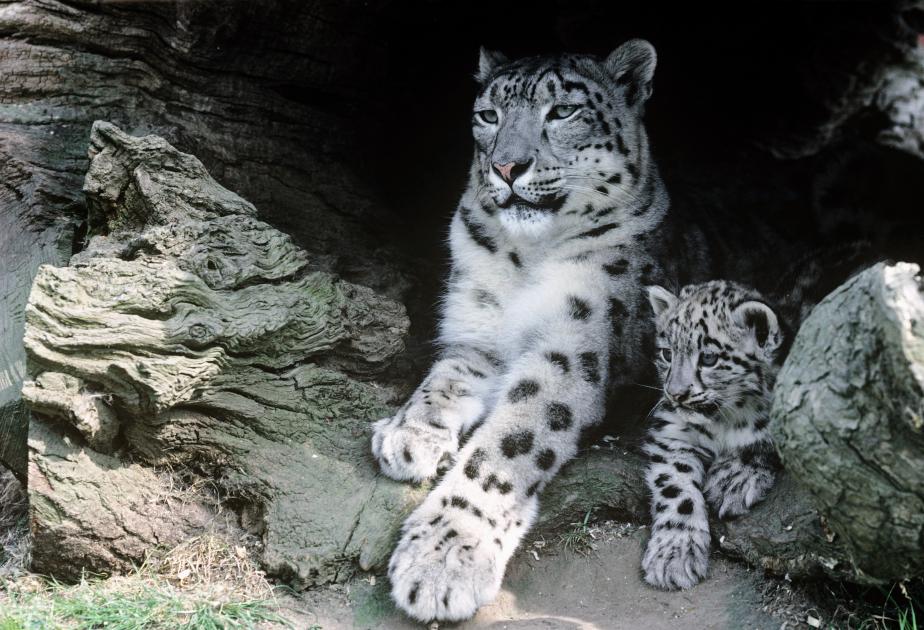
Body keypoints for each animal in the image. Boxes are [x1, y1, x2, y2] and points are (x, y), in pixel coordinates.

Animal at [370, 39, 673, 622]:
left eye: (564, 111)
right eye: (488, 115)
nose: (508, 165)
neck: (527, 254)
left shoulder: (571, 350)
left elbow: (506, 448)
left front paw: (444, 555)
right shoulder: (477, 332)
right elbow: (441, 382)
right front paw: (407, 435)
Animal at [641, 280, 783, 590]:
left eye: (708, 357)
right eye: (667, 353)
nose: (676, 394)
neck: (724, 420)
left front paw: (732, 479)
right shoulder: (672, 432)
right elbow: (675, 486)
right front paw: (674, 554)